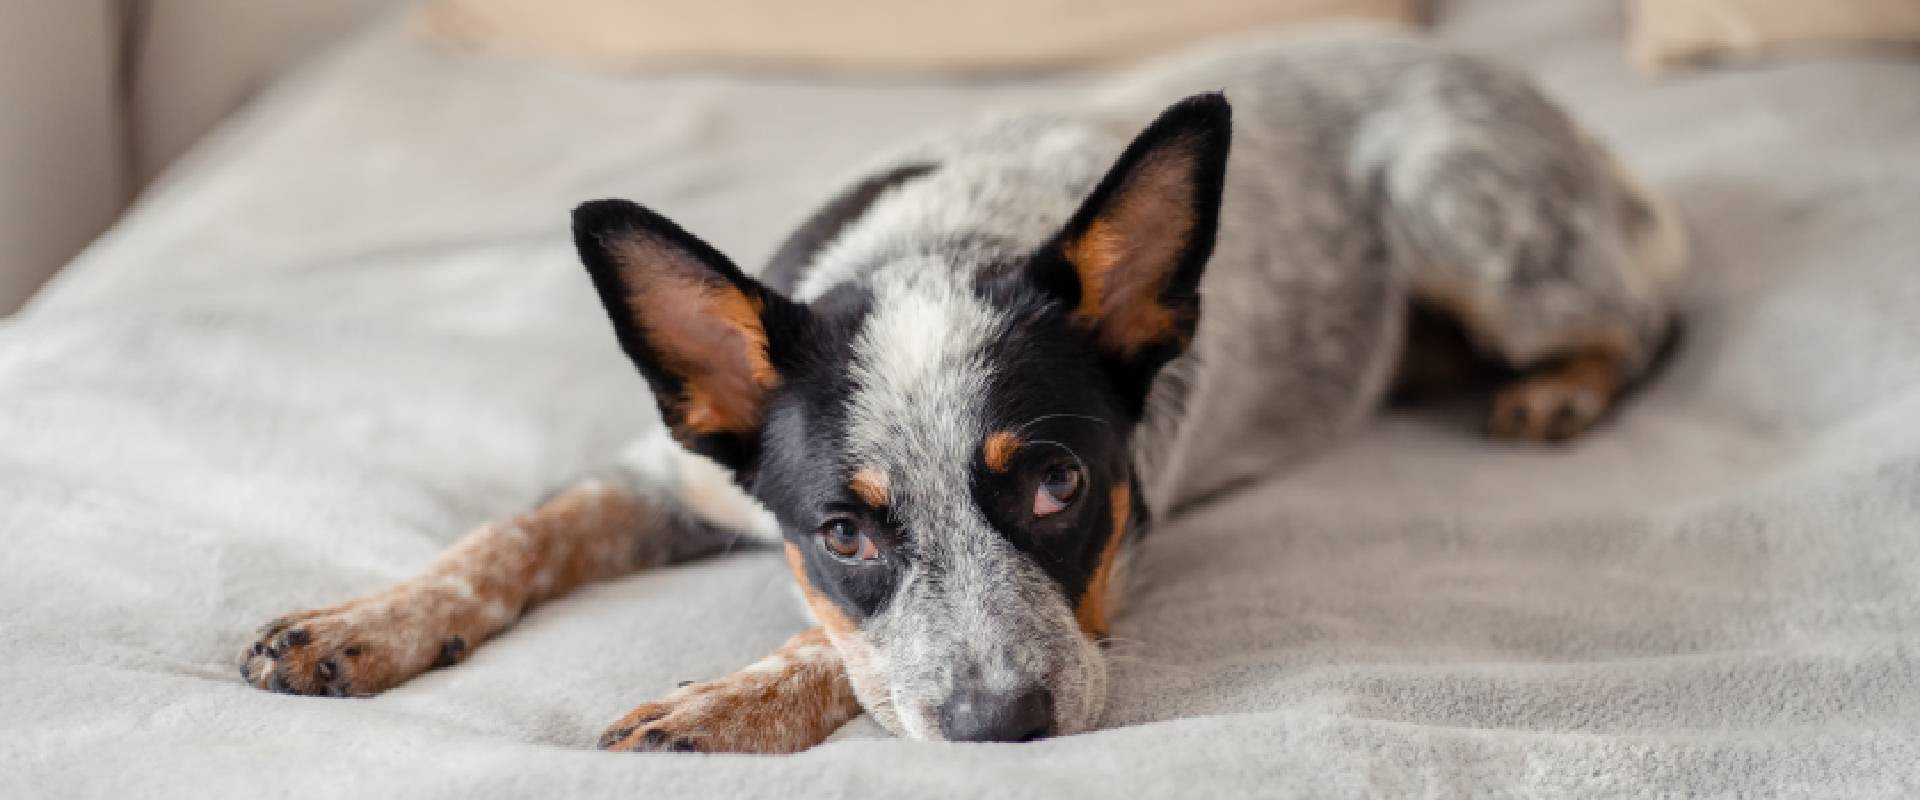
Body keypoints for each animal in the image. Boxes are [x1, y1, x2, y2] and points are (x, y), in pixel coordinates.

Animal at [236, 24, 1681, 748]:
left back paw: (1560, 385)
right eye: (843, 529)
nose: (1006, 724)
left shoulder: (1122, 554)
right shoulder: (667, 474)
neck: (939, 251)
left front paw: (727, 702)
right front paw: (368, 621)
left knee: (1650, 310)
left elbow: (835, 650)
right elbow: (508, 536)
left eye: (1057, 486)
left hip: (1467, 211)